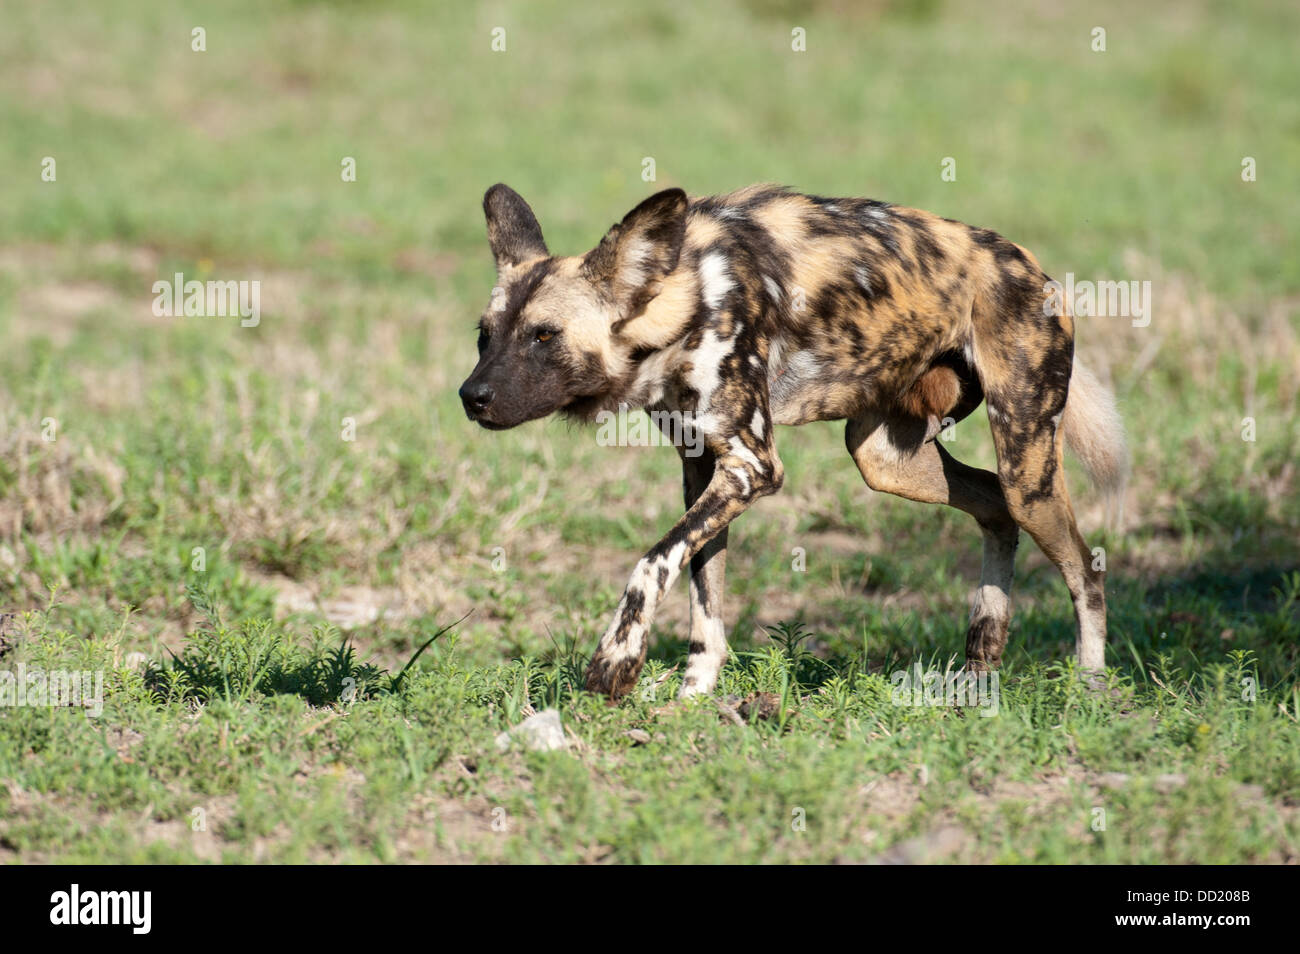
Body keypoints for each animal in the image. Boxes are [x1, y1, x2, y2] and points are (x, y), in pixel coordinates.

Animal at [460, 183, 1128, 701]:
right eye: (484, 336)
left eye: (544, 336)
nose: (471, 397)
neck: (684, 299)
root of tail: (1030, 264)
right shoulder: (706, 470)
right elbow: (704, 599)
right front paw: (693, 699)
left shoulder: (753, 468)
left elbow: (651, 563)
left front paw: (615, 664)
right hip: (884, 458)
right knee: (992, 507)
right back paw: (981, 660)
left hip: (1027, 466)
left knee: (1085, 571)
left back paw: (1088, 686)